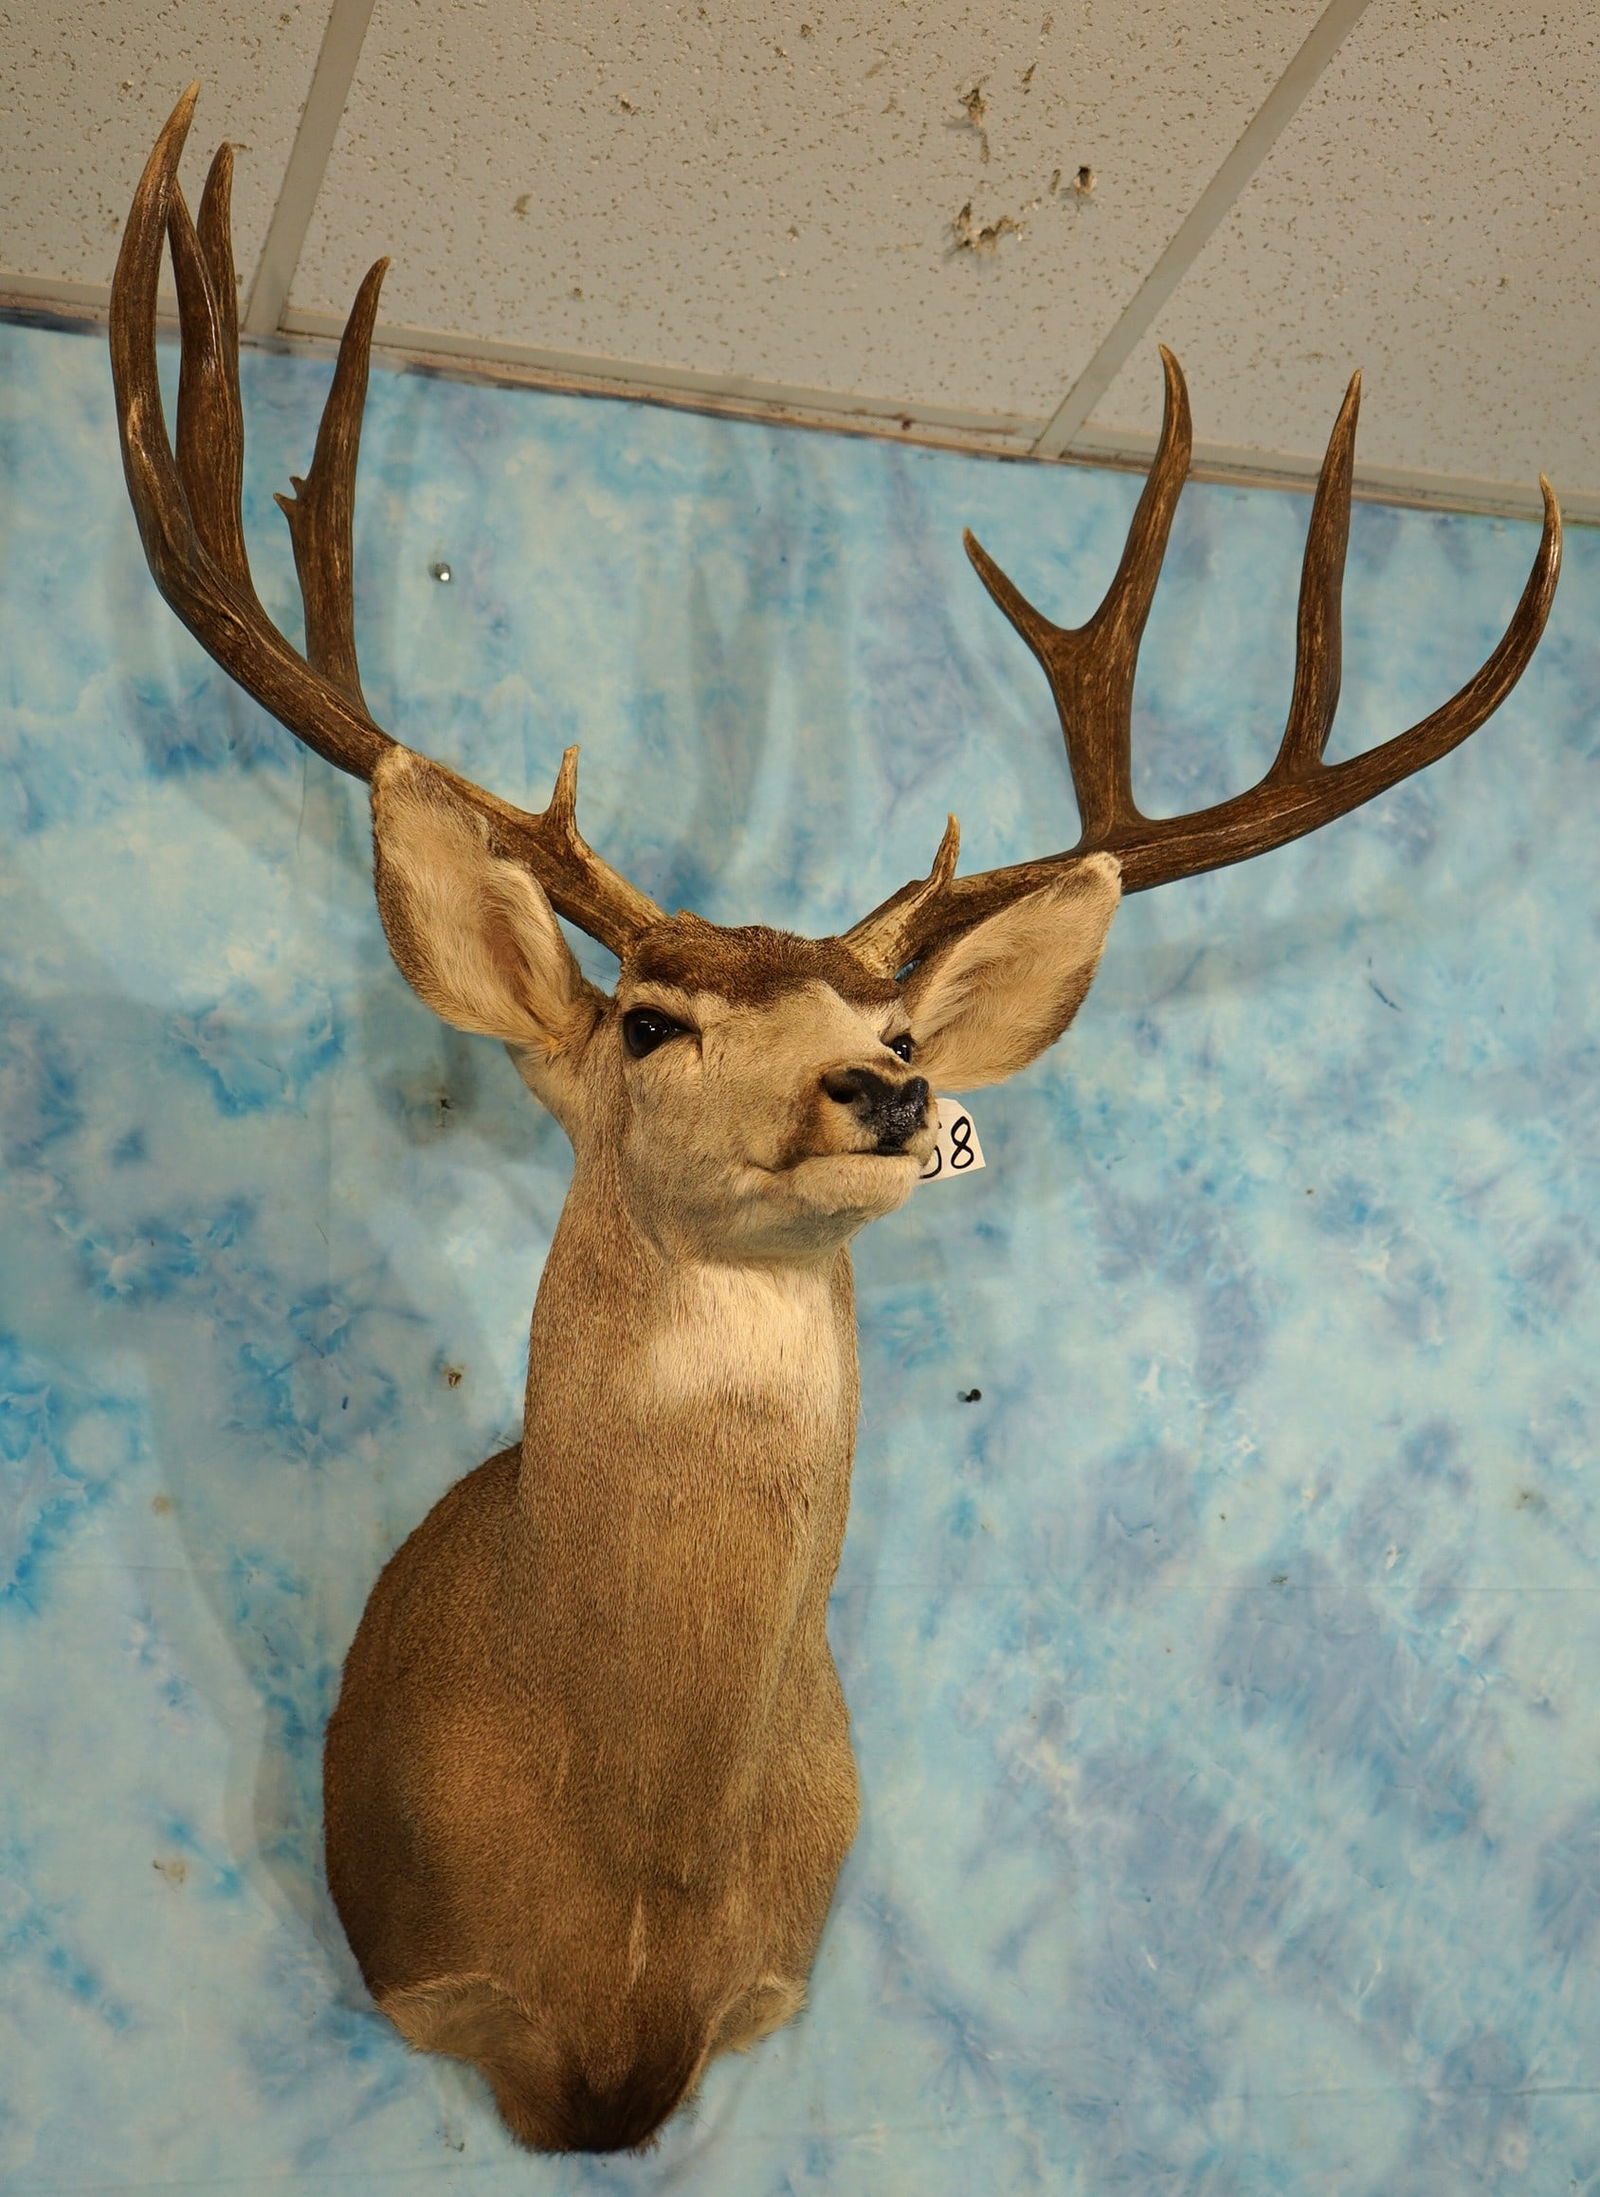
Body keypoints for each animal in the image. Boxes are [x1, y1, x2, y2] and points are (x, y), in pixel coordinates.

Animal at [110, 89, 1561, 2156]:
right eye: (649, 1019)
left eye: (887, 1016)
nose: (889, 1086)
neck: (632, 1890)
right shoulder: (433, 1982)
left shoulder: (757, 2002)